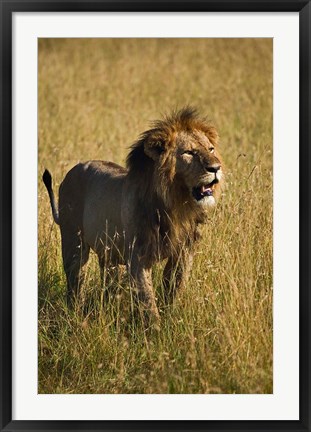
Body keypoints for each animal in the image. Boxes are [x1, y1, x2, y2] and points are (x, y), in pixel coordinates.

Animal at [43, 108, 224, 328]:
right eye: (189, 152)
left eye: (211, 149)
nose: (216, 168)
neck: (176, 206)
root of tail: (72, 170)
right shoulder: (138, 256)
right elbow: (147, 299)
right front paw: (156, 331)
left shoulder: (184, 251)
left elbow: (174, 288)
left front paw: (172, 319)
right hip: (74, 243)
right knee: (75, 283)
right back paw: (76, 317)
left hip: (108, 253)